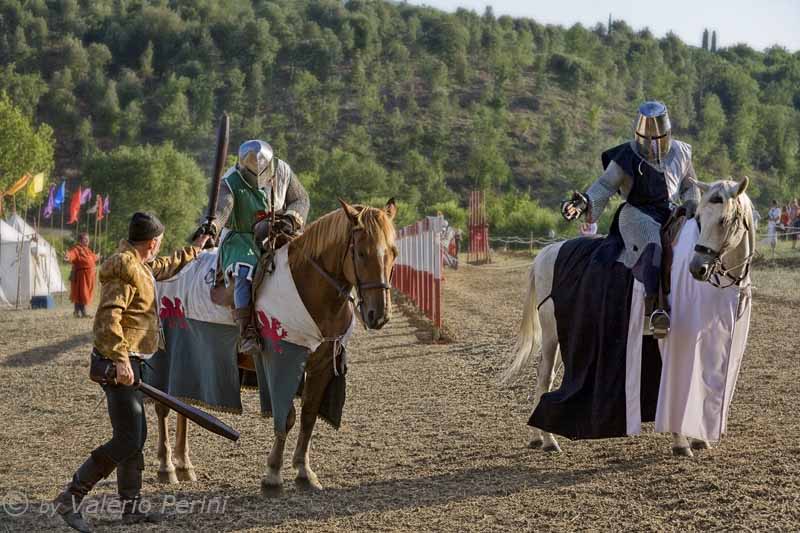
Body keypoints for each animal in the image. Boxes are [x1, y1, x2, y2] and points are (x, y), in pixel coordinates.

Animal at [504, 177, 752, 456]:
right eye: (700, 218)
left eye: (723, 220)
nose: (698, 267)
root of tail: (546, 253)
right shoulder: (672, 338)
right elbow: (673, 386)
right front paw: (681, 442)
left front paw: (698, 439)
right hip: (551, 335)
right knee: (544, 378)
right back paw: (548, 440)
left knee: (544, 377)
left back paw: (539, 437)